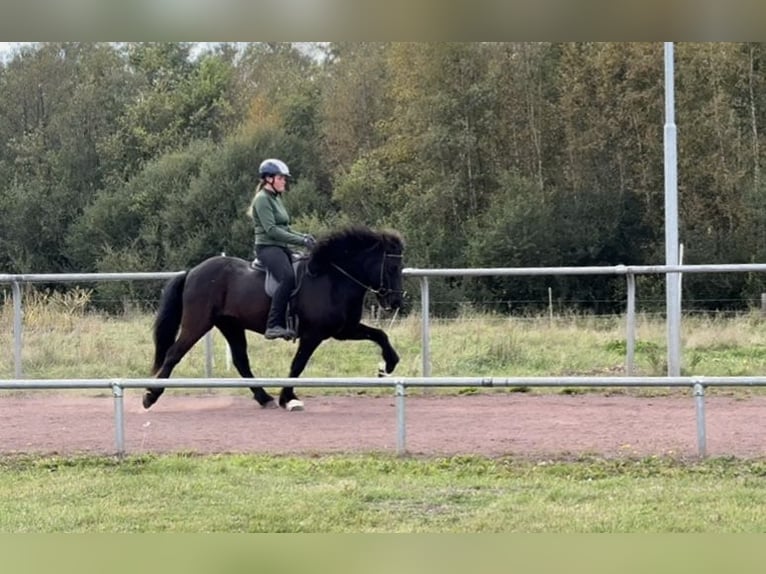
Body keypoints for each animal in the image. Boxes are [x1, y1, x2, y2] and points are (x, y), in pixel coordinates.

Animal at [143, 225, 405, 411]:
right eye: (392, 268)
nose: (395, 302)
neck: (332, 278)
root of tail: (192, 272)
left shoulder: (343, 329)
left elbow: (380, 335)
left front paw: (387, 366)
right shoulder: (314, 335)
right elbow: (298, 364)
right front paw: (287, 398)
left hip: (230, 325)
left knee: (241, 361)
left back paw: (263, 398)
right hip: (197, 324)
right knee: (173, 354)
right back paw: (150, 396)